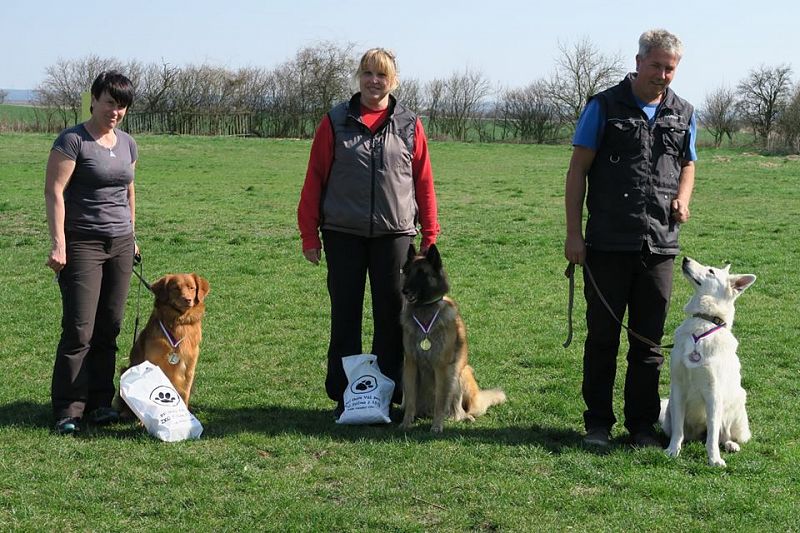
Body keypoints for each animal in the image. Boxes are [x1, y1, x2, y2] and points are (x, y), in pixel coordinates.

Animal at [400, 245, 506, 432]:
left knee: (458, 410)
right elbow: (411, 400)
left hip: (460, 374)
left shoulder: (441, 367)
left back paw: (462, 417)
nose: (404, 291)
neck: (425, 311)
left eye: (421, 273)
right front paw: (406, 424)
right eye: (407, 271)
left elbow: (440, 402)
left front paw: (437, 426)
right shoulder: (410, 365)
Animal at [664, 258, 756, 466]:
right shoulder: (678, 388)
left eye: (711, 271)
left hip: (738, 402)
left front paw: (714, 459)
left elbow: (713, 435)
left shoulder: (713, 393)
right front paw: (673, 450)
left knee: (724, 435)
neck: (704, 323)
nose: (685, 259)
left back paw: (731, 445)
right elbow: (678, 430)